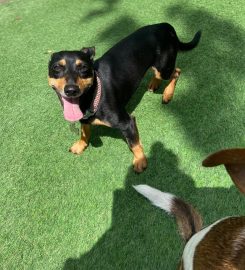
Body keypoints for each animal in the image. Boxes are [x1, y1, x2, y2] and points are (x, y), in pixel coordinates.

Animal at [47, 22, 201, 171]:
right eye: (57, 68)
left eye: (83, 67)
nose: (71, 90)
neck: (93, 95)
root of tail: (165, 25)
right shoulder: (84, 118)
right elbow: (84, 130)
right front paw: (81, 144)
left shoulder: (127, 122)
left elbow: (134, 143)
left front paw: (140, 160)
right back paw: (154, 83)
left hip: (164, 67)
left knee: (177, 71)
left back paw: (167, 94)